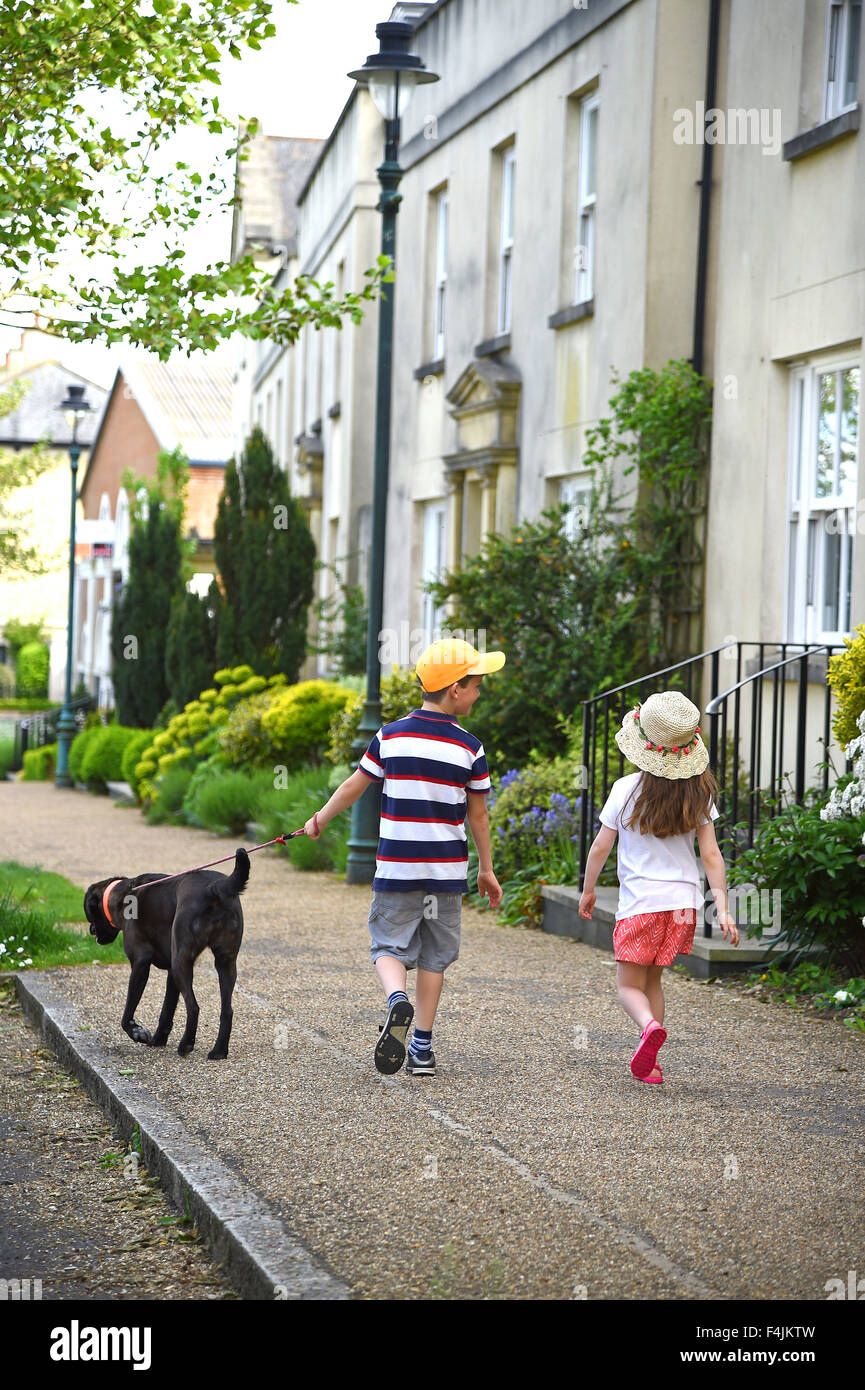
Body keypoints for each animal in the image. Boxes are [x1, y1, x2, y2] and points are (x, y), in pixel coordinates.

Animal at [83, 845, 250, 1061]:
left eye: (89, 915)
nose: (91, 931)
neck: (123, 896)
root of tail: (216, 888)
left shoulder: (140, 964)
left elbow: (128, 1012)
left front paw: (136, 1032)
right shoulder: (171, 972)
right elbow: (167, 1009)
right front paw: (158, 1039)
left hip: (182, 961)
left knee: (193, 1007)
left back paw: (186, 1044)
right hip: (224, 962)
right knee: (227, 1010)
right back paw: (219, 1051)